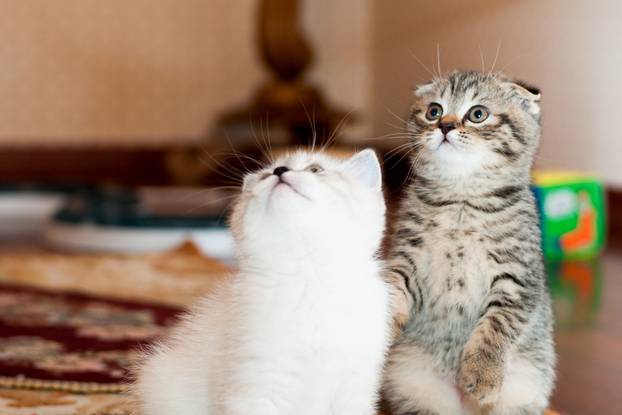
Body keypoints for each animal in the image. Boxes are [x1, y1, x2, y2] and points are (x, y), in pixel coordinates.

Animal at [135, 150, 392, 415]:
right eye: (264, 175)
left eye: (315, 169)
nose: (279, 170)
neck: (308, 276)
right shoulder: (258, 386)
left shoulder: (353, 386)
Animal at [386, 71, 556, 415]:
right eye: (434, 111)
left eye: (478, 114)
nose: (445, 126)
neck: (462, 198)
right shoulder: (407, 258)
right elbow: (393, 290)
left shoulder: (519, 277)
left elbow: (498, 325)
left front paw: (482, 373)